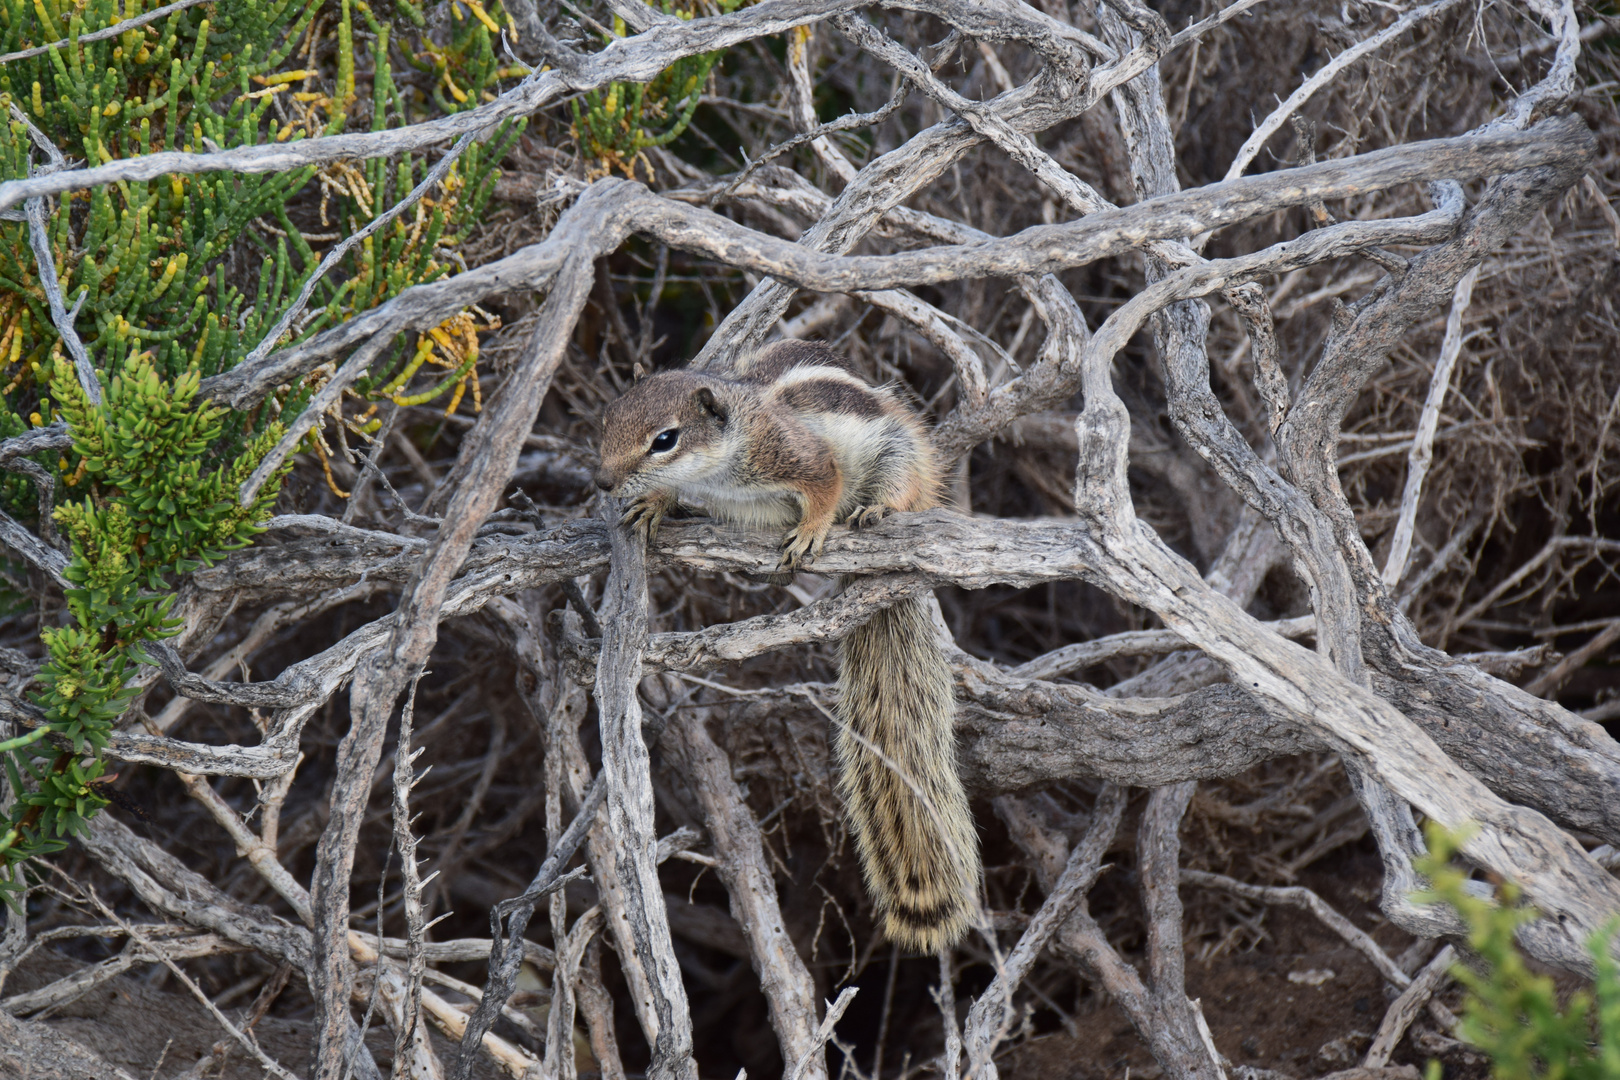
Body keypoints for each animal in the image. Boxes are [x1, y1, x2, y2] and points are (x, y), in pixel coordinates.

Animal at [592, 341, 978, 952]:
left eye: (665, 439)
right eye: (607, 419)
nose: (604, 482)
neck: (722, 467)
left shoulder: (799, 455)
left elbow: (825, 483)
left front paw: (814, 527)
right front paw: (654, 501)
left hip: (899, 449)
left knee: (898, 482)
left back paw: (881, 509)